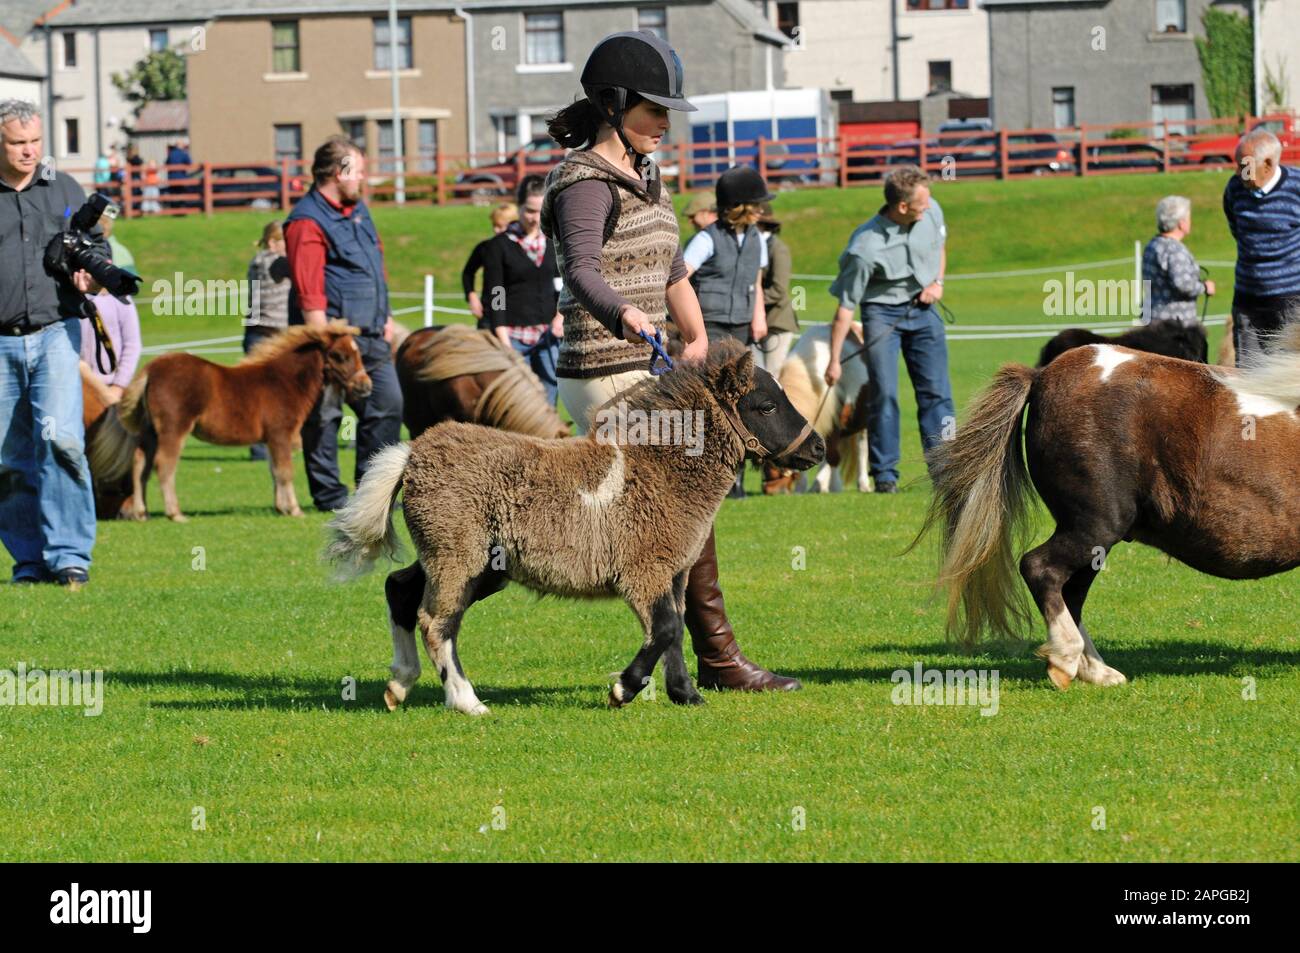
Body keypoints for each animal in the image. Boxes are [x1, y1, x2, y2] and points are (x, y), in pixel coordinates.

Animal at [107, 322, 371, 522]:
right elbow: (286, 471)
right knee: (164, 465)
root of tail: (150, 370)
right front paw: (295, 510)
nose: (365, 386)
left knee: (140, 464)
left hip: (150, 432)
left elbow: (274, 471)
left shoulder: (270, 439)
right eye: (340, 356)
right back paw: (175, 513)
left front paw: (281, 508)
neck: (284, 381)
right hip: (173, 429)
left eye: (358, 354)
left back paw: (141, 512)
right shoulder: (281, 434)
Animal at [325, 341, 824, 715]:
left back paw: (399, 685)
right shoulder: (642, 571)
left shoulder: (674, 572)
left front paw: (686, 694)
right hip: (457, 554)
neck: (658, 469)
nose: (817, 448)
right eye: (766, 405)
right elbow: (664, 628)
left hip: (475, 563)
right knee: (436, 621)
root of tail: (413, 455)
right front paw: (623, 690)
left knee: (399, 589)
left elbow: (677, 628)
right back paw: (467, 701)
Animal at [766, 322, 871, 494]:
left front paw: (835, 486)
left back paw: (863, 483)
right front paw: (803, 488)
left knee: (861, 448)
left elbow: (833, 456)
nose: (768, 491)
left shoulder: (836, 421)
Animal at [914, 329, 1300, 689]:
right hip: (1094, 525)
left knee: (1071, 592)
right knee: (1041, 569)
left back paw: (1096, 670)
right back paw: (1065, 658)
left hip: (1094, 539)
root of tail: (1041, 376)